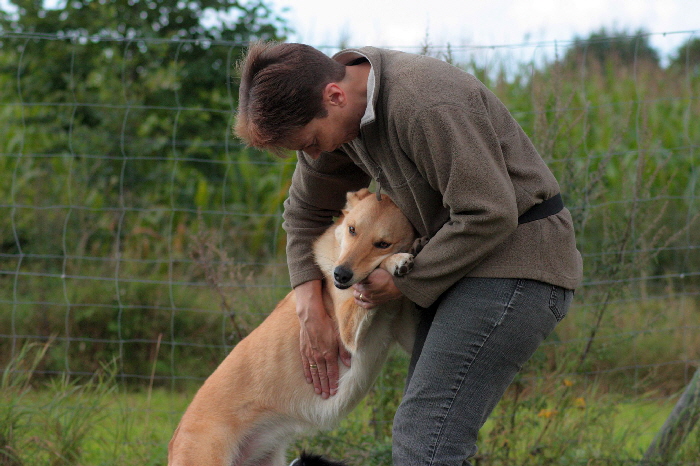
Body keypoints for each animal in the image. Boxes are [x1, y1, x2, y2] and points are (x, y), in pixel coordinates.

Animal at [168, 189, 416, 466]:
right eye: (353, 230)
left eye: (382, 243)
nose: (340, 274)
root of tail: (176, 439)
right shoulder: (349, 330)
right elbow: (375, 273)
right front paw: (396, 262)